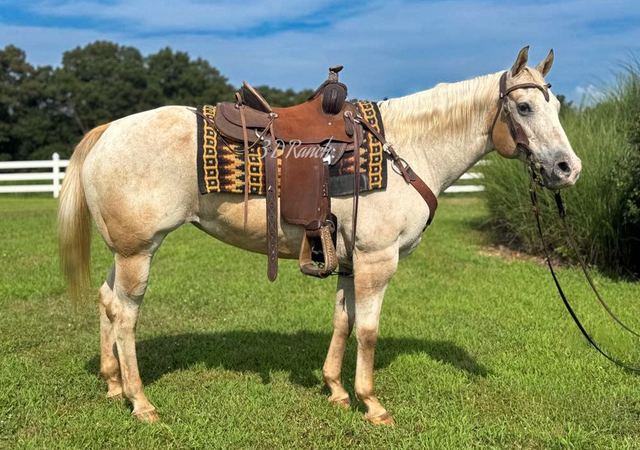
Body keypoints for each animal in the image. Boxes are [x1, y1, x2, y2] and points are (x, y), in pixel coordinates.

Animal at [58, 47, 581, 424]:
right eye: (524, 106)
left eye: (555, 104)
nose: (567, 168)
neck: (406, 149)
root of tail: (108, 130)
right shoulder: (376, 259)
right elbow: (368, 330)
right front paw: (372, 404)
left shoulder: (349, 261)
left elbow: (343, 322)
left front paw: (335, 390)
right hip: (138, 252)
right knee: (126, 316)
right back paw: (141, 402)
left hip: (126, 251)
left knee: (107, 302)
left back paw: (113, 385)